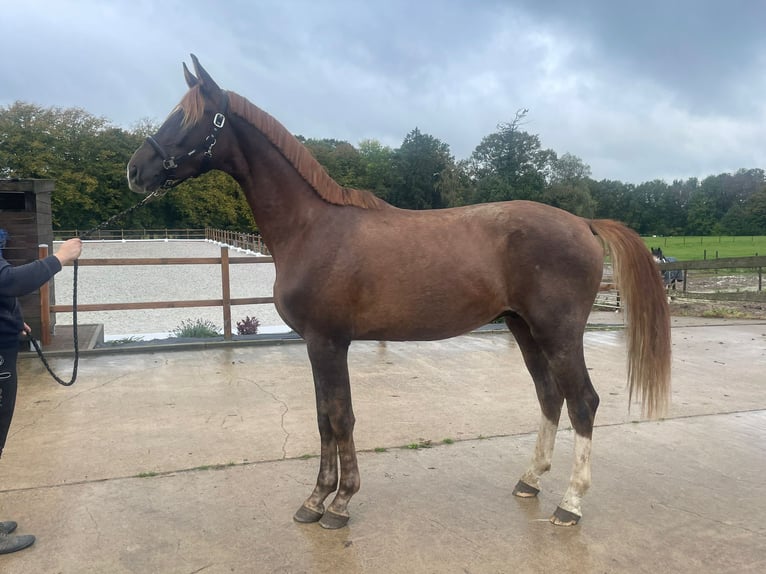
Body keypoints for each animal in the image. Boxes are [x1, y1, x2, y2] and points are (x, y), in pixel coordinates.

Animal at [127, 55, 672, 532]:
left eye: (188, 118)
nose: (136, 170)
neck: (312, 228)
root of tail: (583, 222)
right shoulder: (317, 345)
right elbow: (324, 418)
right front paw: (316, 500)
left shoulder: (328, 342)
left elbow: (340, 418)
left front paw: (337, 503)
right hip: (524, 329)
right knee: (549, 396)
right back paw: (529, 480)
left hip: (558, 333)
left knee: (582, 402)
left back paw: (570, 505)